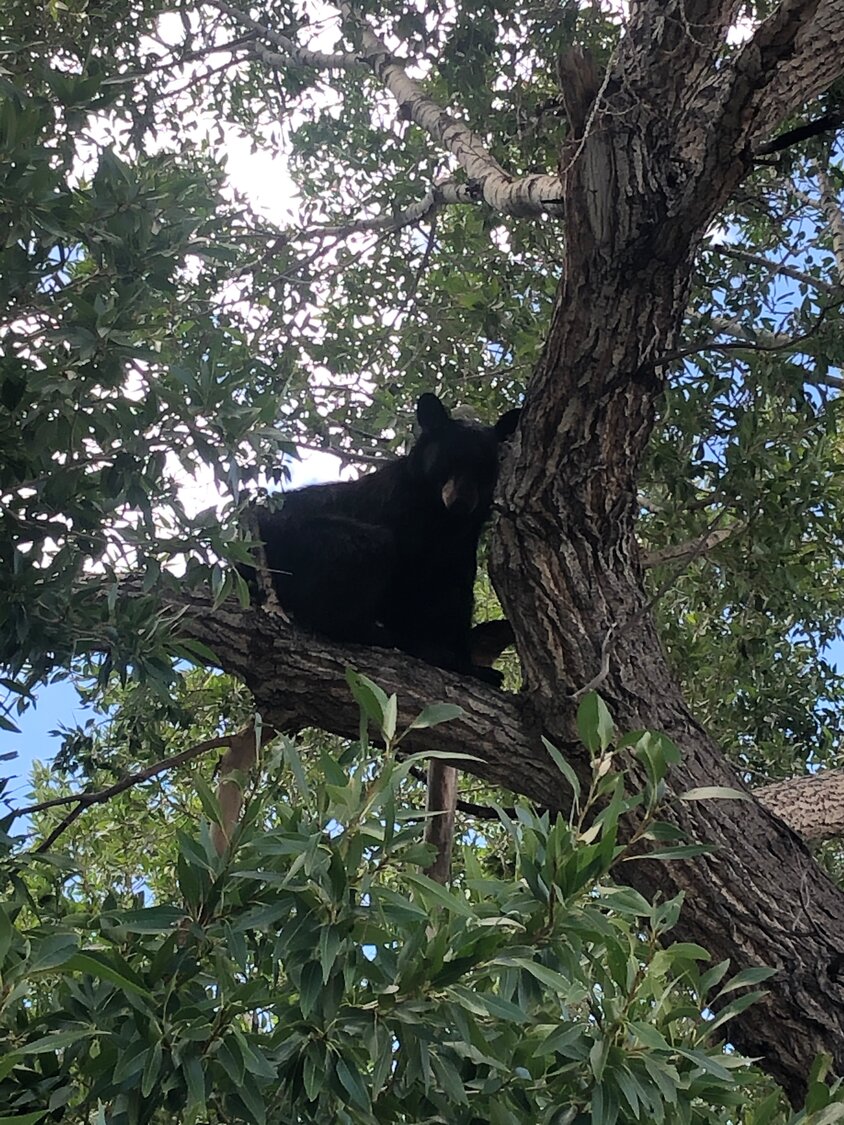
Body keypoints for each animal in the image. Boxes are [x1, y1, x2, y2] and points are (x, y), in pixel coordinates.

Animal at [245, 393, 520, 683]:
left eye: (484, 469)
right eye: (448, 461)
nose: (461, 501)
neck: (442, 520)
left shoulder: (460, 549)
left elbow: (454, 596)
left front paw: (469, 662)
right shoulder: (402, 517)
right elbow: (405, 587)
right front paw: (436, 652)